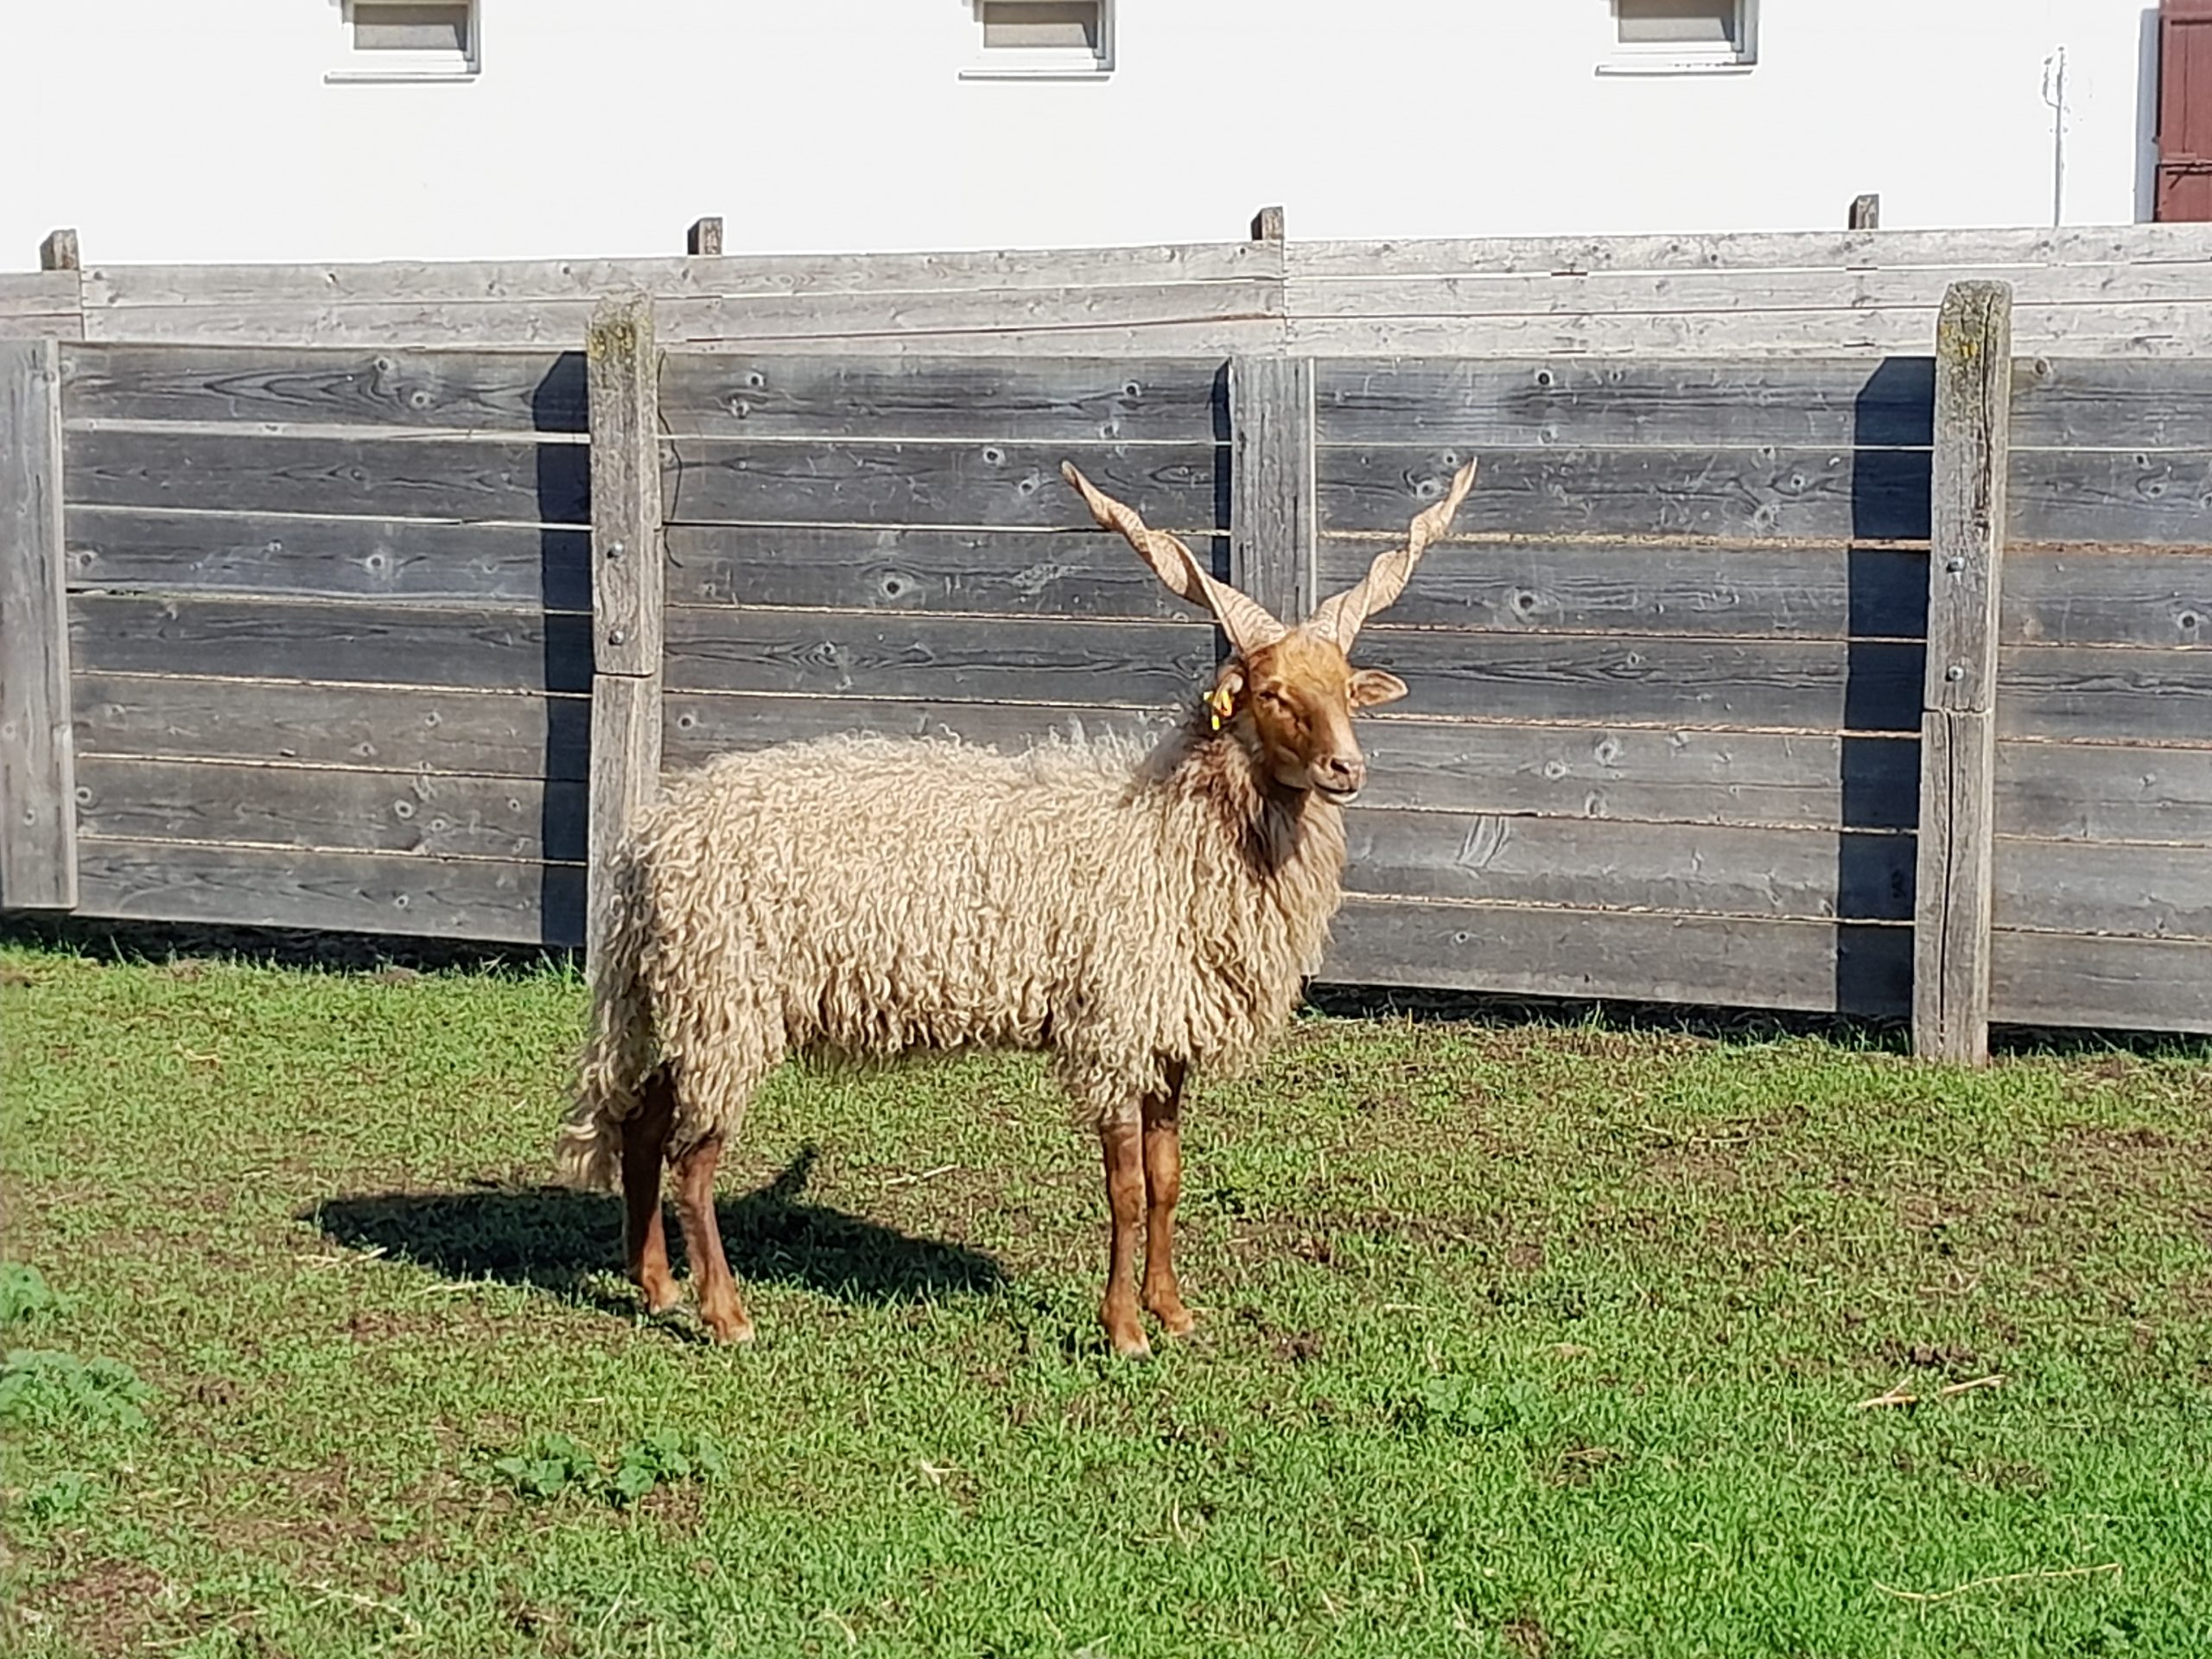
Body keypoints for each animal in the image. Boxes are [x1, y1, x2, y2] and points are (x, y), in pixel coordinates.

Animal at [562, 457, 1478, 1362]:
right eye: (1272, 693)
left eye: (1348, 691)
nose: (1345, 768)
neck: (1165, 831)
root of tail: (647, 841)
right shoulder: (1111, 1028)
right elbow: (1127, 1188)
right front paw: (1125, 1331)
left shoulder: (1165, 1030)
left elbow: (1169, 1178)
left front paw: (1174, 1312)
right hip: (727, 999)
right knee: (694, 1156)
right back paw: (725, 1314)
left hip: (694, 1000)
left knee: (642, 1120)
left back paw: (656, 1285)